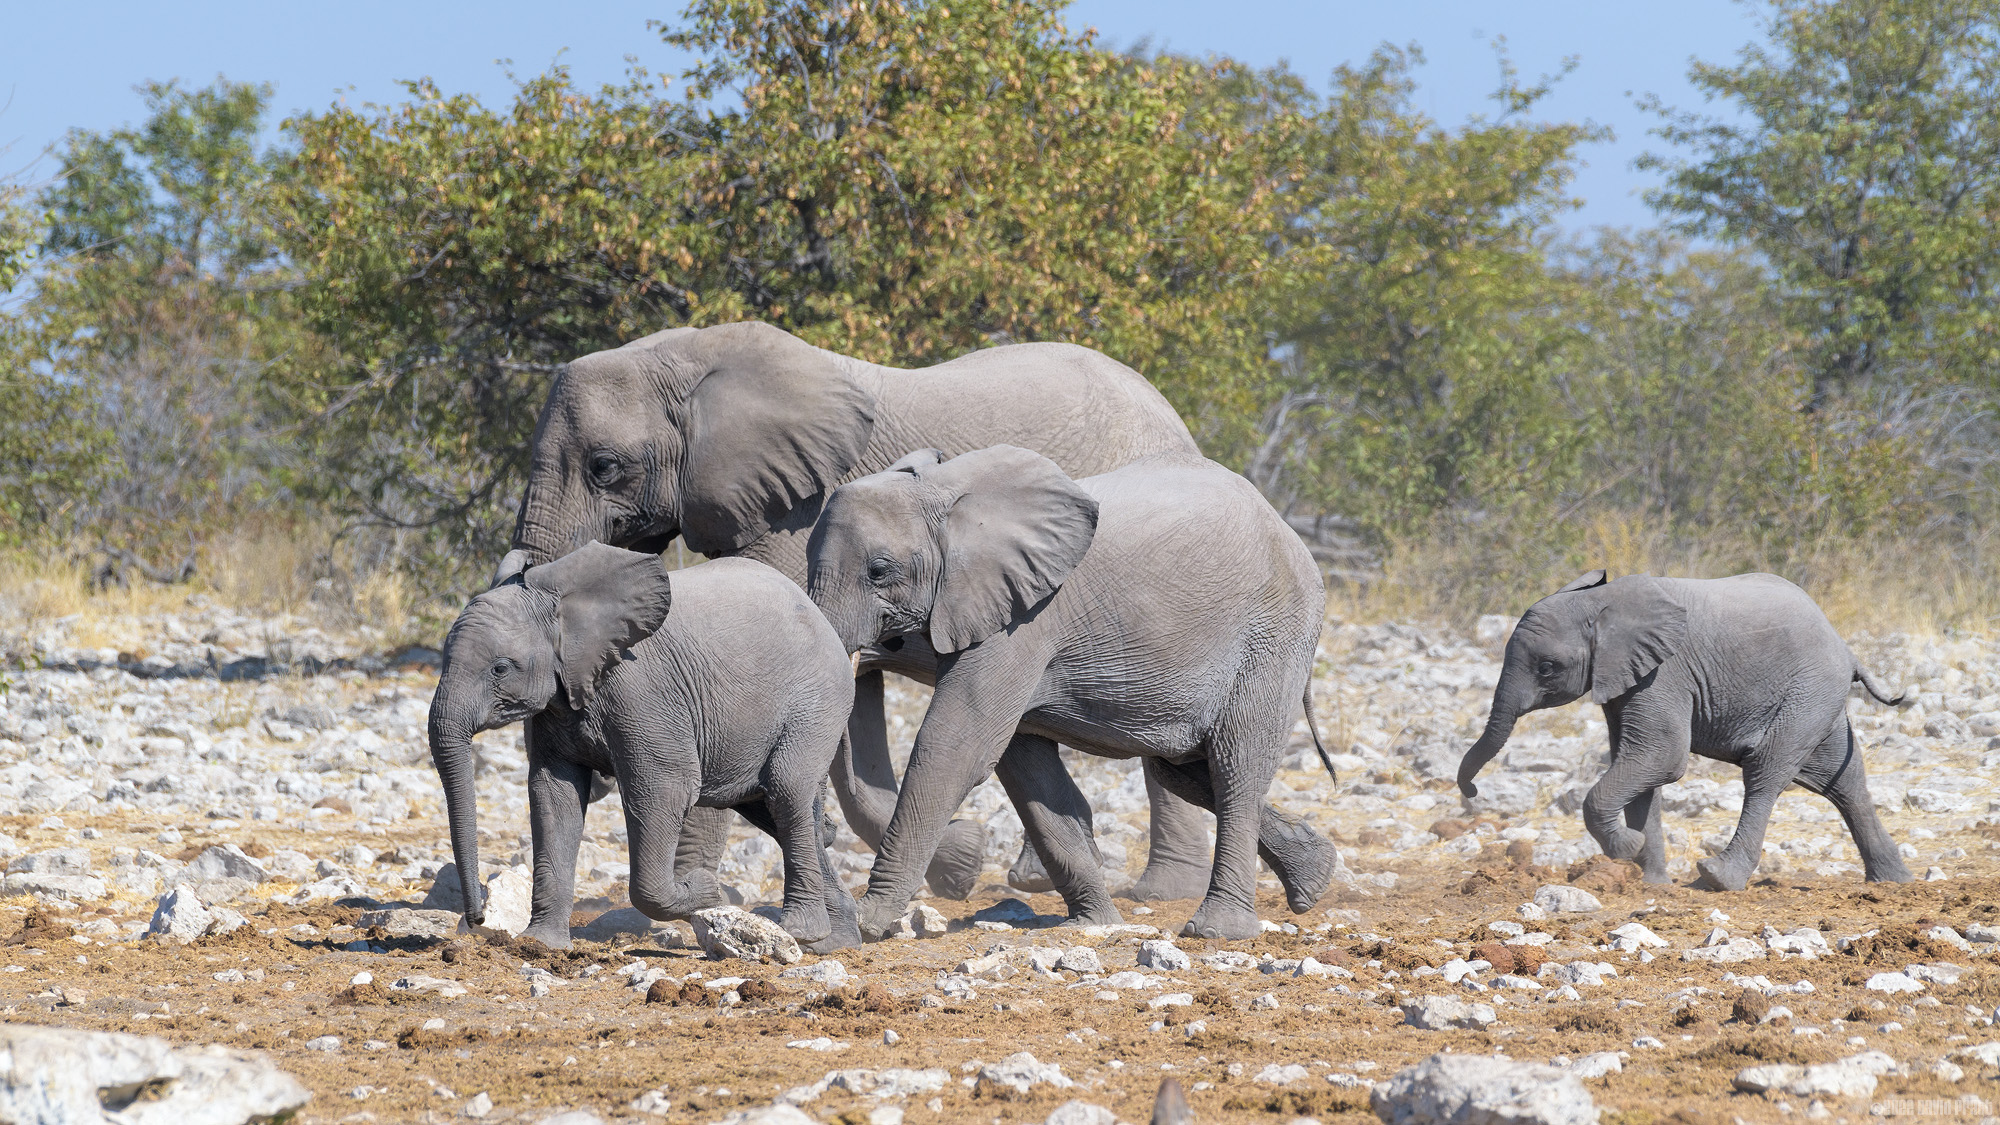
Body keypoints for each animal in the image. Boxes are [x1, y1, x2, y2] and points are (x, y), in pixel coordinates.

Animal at [427, 542, 859, 950]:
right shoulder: (560, 698)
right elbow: (554, 794)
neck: (565, 606)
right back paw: (836, 940)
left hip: (818, 700)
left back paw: (801, 931)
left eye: (500, 668)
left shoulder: (642, 690)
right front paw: (540, 945)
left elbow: (664, 790)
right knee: (775, 807)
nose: (478, 919)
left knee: (786, 791)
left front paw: (706, 892)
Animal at [505, 320, 1218, 903]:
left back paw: (1158, 893)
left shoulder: (795, 512)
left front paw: (698, 896)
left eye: (605, 467)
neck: (691, 353)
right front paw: (959, 864)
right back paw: (1038, 878)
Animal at [805, 446, 1345, 941]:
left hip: (1274, 634)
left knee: (1236, 765)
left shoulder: (1024, 619)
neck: (944, 492)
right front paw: (1096, 924)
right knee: (1183, 770)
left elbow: (955, 746)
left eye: (878, 571)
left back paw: (1218, 930)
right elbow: (1024, 767)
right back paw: (1315, 878)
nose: (827, 831)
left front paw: (870, 923)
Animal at [1457, 570, 1912, 891]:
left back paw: (1717, 878)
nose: (1472, 791)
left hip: (1808, 692)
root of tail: (1847, 648)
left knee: (1766, 772)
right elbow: (1636, 762)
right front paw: (1652, 882)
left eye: (1547, 668)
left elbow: (1662, 757)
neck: (1602, 602)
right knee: (1844, 780)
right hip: (1820, 700)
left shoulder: (1665, 672)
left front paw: (1628, 848)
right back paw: (1893, 881)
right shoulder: (1626, 677)